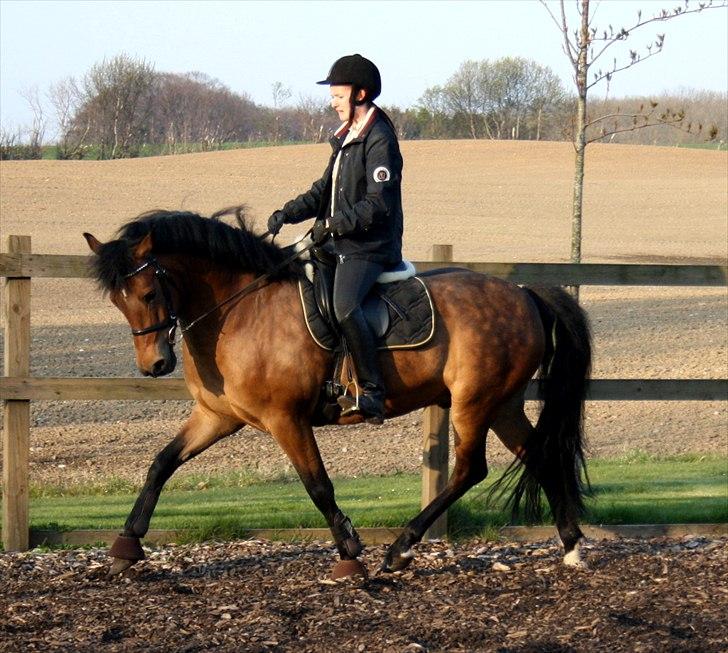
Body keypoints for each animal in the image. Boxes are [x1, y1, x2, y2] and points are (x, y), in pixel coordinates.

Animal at [84, 208, 592, 576]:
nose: (154, 365)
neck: (243, 309)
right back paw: (570, 545)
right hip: (502, 404)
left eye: (149, 294)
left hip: (474, 402)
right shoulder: (217, 417)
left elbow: (318, 485)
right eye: (118, 300)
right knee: (537, 454)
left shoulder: (285, 419)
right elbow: (161, 464)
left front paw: (349, 552)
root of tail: (524, 293)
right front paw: (126, 546)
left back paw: (400, 550)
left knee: (471, 469)